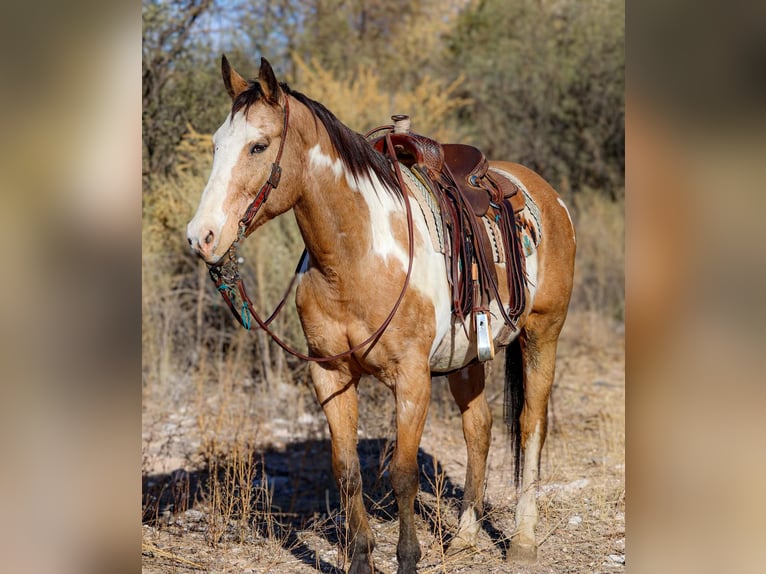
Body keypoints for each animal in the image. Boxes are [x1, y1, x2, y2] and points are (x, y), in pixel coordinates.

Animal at [187, 56, 576, 574]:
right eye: (215, 144)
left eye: (259, 145)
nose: (201, 236)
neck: (354, 257)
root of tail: (549, 196)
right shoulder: (330, 375)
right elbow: (347, 470)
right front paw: (360, 559)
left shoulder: (410, 378)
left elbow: (404, 474)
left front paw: (407, 559)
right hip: (466, 359)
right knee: (479, 428)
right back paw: (466, 537)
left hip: (542, 335)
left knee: (531, 425)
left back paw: (523, 540)